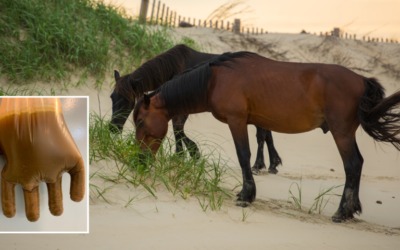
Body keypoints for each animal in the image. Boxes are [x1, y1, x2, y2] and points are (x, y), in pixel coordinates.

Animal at [110, 44, 282, 174]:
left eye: (126, 100)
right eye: (112, 97)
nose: (113, 128)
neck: (175, 67)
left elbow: (178, 129)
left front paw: (192, 153)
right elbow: (177, 130)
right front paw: (181, 155)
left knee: (261, 135)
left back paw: (258, 165)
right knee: (267, 133)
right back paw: (272, 164)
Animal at [133, 51, 400, 222]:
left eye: (140, 121)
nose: (139, 160)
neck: (214, 80)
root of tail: (362, 79)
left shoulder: (237, 121)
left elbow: (244, 156)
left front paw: (246, 196)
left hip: (341, 132)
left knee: (352, 165)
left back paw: (341, 212)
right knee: (358, 164)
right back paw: (350, 210)